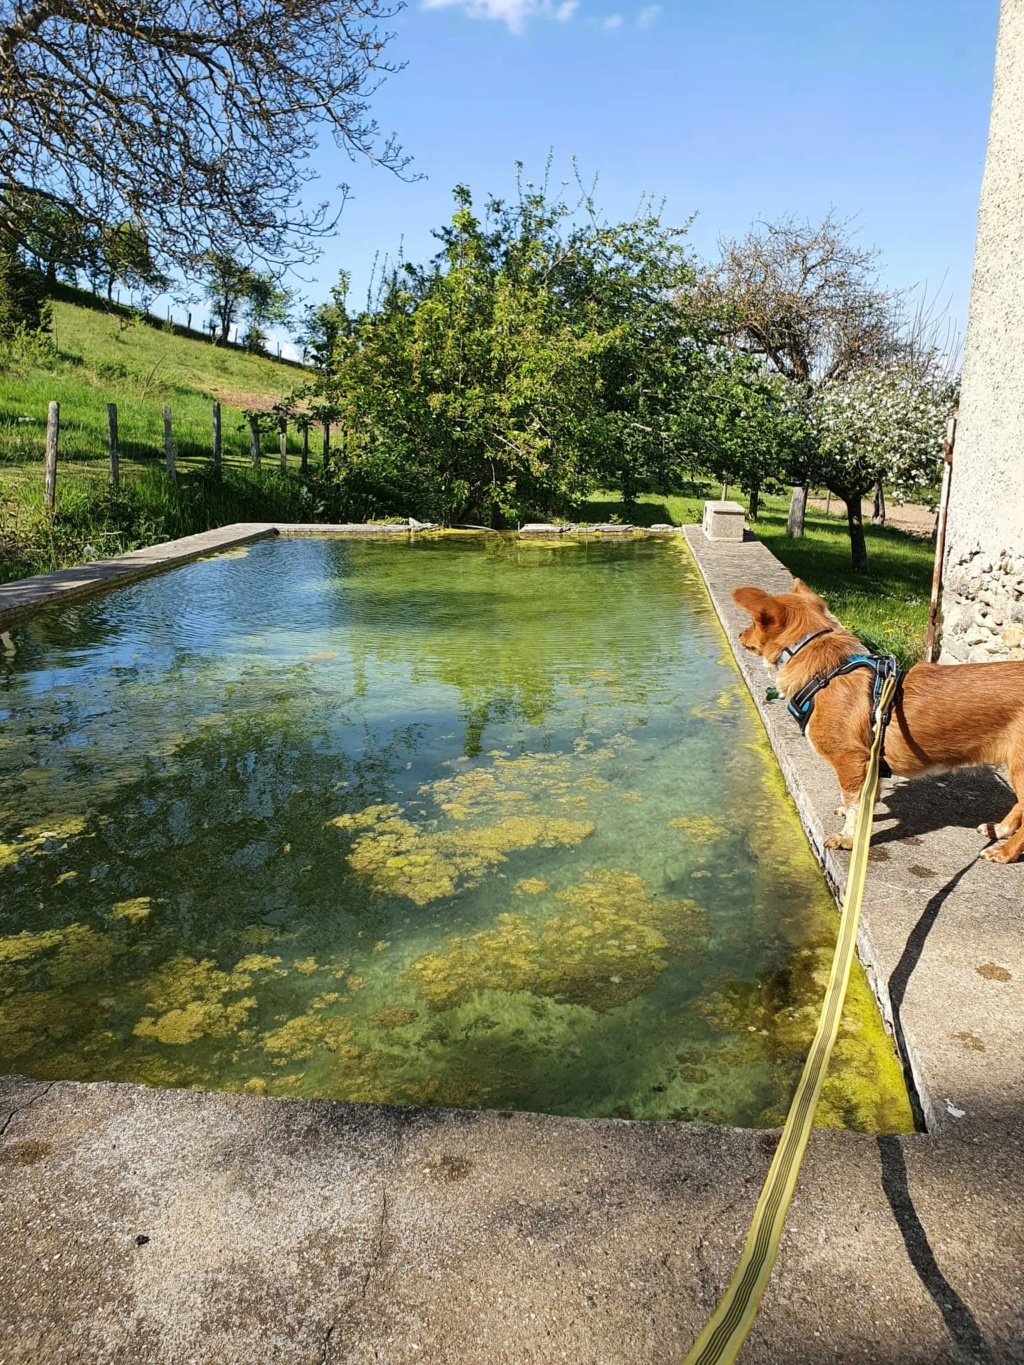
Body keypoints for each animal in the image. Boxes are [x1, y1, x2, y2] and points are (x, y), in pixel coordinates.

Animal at [731, 578, 1024, 862]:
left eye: (754, 621)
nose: (740, 634)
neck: (825, 672)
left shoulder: (850, 760)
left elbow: (854, 804)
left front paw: (848, 838)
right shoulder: (870, 759)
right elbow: (867, 796)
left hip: (1019, 768)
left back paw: (1004, 851)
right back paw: (999, 829)